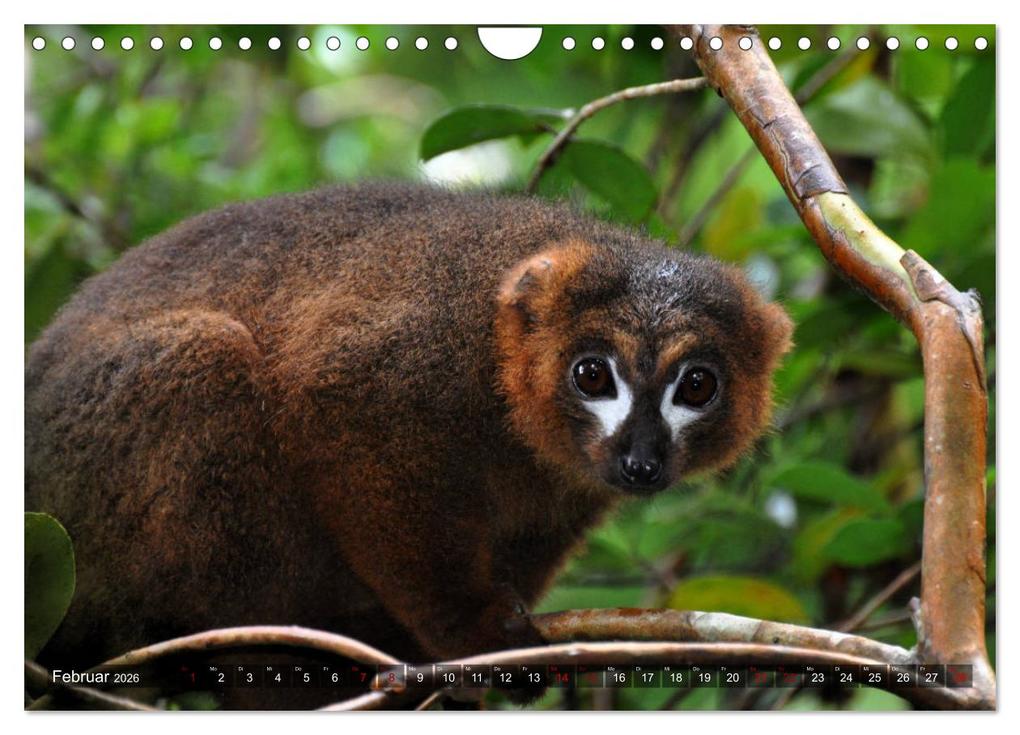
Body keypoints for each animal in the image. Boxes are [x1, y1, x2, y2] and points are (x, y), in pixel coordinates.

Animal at [25, 182, 792, 707]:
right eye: (593, 374)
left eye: (697, 386)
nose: (641, 458)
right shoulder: (418, 347)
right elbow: (336, 400)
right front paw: (470, 633)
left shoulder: (570, 482)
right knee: (201, 357)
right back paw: (271, 661)